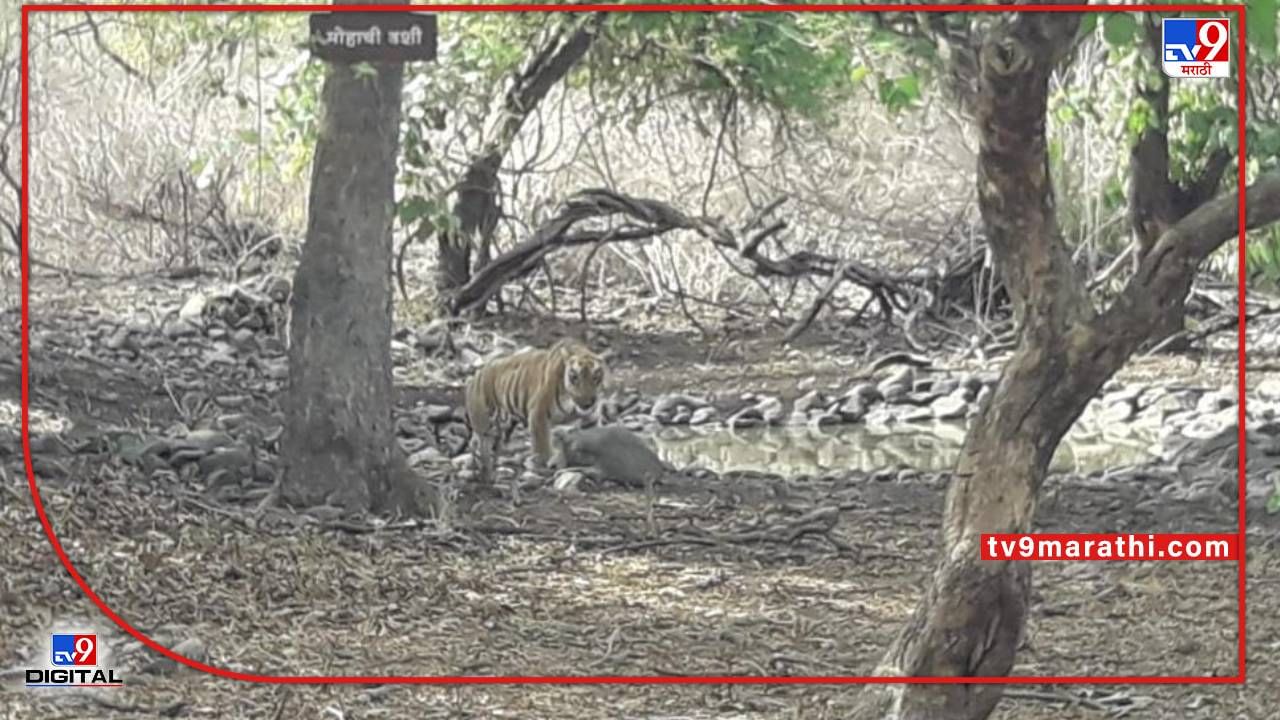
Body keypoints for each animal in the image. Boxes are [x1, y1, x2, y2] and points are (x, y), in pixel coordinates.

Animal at [463, 338, 606, 486]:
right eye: (574, 377)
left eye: (595, 377)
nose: (587, 402)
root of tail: (474, 378)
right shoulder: (539, 415)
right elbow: (542, 448)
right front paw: (546, 466)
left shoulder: (590, 418)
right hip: (485, 426)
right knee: (481, 448)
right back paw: (484, 475)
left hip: (499, 429)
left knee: (480, 445)